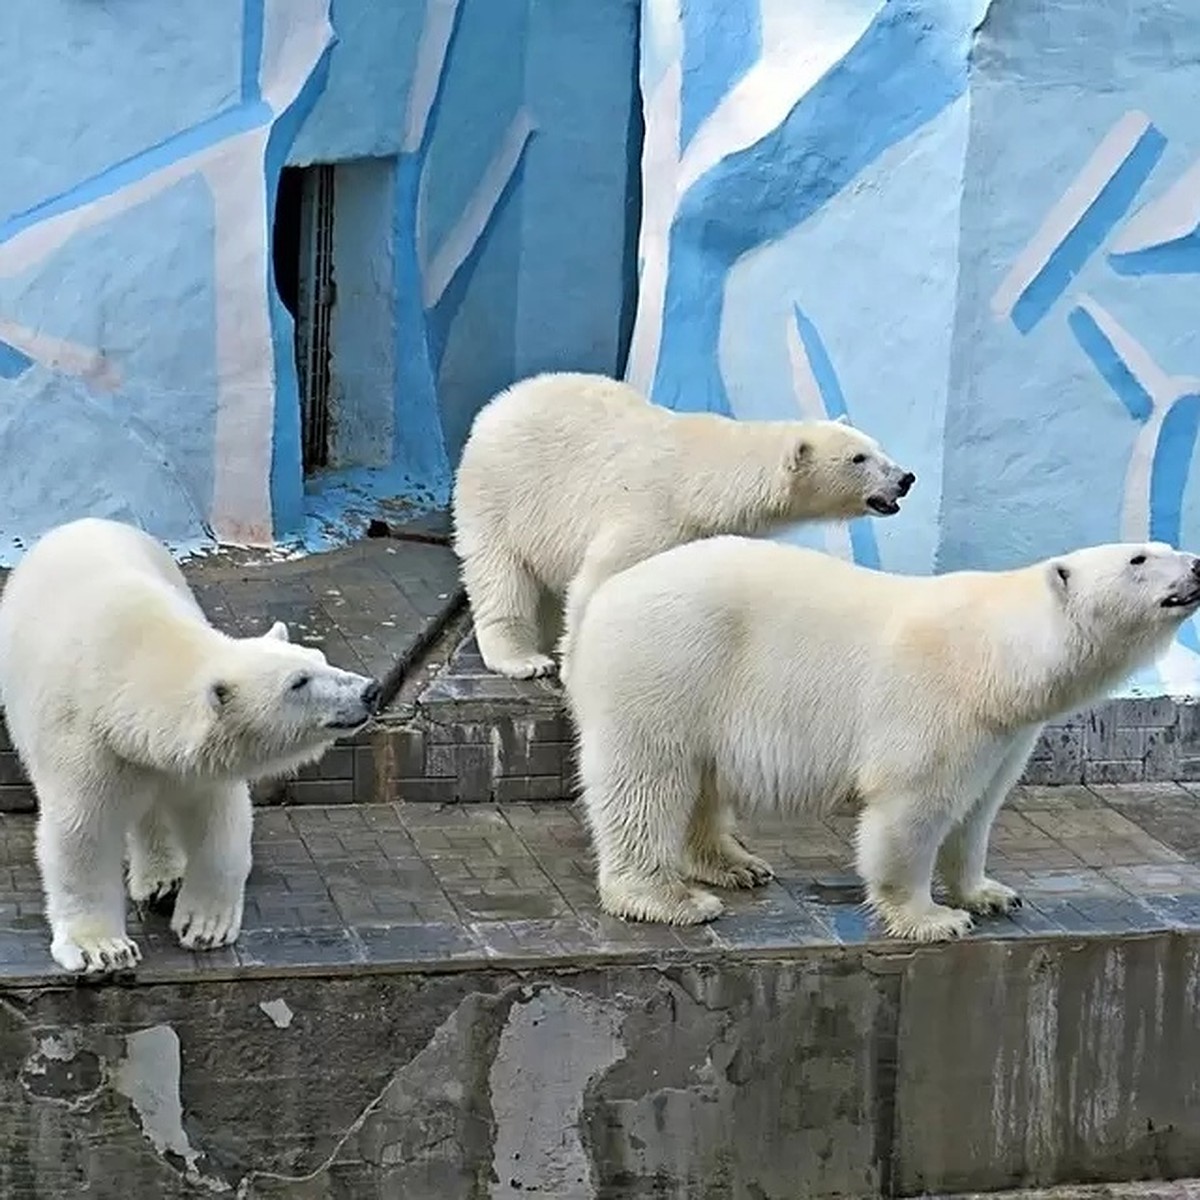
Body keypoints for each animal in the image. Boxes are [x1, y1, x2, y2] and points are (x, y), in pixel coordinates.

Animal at [0, 518, 381, 974]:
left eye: (319, 657)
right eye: (298, 682)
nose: (369, 691)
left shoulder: (192, 763)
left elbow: (219, 823)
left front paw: (204, 925)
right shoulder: (85, 742)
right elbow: (82, 834)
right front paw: (103, 948)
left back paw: (162, 878)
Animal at [453, 369, 912, 681]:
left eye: (877, 447)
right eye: (858, 459)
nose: (905, 478)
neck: (700, 481)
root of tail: (497, 406)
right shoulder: (649, 513)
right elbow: (596, 582)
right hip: (501, 495)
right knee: (501, 577)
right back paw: (523, 659)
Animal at [564, 532, 1200, 936]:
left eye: (1164, 545)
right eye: (1140, 558)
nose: (1196, 564)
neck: (997, 658)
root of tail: (606, 594)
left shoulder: (1006, 732)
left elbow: (980, 809)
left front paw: (990, 893)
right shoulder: (939, 703)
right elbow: (914, 808)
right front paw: (932, 918)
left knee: (701, 777)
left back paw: (735, 863)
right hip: (667, 663)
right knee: (647, 781)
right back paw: (671, 898)